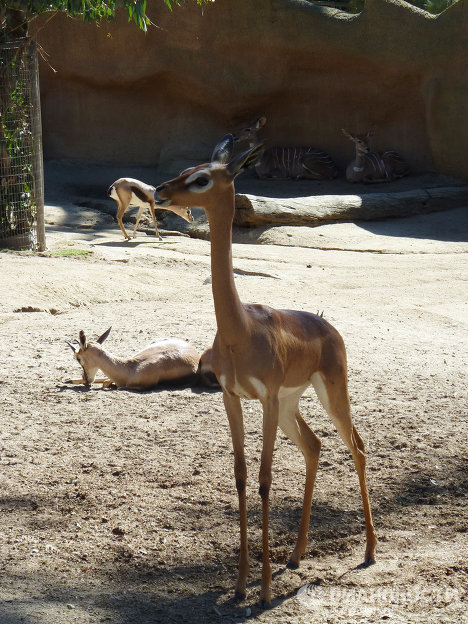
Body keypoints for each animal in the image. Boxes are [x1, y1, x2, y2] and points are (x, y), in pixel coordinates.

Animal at [155, 135, 378, 604]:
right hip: (292, 404)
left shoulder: (267, 398)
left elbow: (264, 478)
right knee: (314, 446)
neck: (240, 330)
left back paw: (369, 550)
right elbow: (241, 477)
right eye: (186, 168)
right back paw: (295, 555)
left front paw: (263, 589)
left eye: (202, 179)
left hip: (328, 395)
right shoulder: (233, 397)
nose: (161, 190)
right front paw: (242, 584)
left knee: (357, 446)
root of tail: (326, 326)